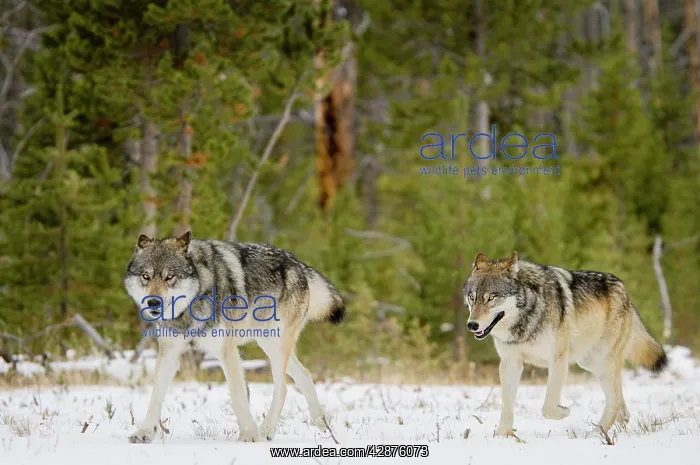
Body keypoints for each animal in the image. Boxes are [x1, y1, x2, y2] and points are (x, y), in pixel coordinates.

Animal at [123, 231, 345, 443]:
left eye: (170, 277)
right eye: (146, 276)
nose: (153, 302)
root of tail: (299, 264)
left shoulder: (227, 351)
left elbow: (238, 395)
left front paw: (249, 435)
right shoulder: (169, 352)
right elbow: (156, 396)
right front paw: (144, 433)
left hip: (275, 346)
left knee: (282, 389)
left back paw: (266, 430)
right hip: (269, 345)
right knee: (305, 375)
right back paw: (322, 421)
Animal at [463, 251, 667, 437]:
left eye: (491, 298)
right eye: (472, 297)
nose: (472, 325)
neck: (528, 317)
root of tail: (624, 291)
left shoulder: (558, 359)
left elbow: (548, 407)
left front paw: (564, 411)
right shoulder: (510, 362)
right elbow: (507, 404)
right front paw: (501, 436)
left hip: (602, 362)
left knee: (614, 402)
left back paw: (595, 434)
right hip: (591, 364)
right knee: (619, 400)